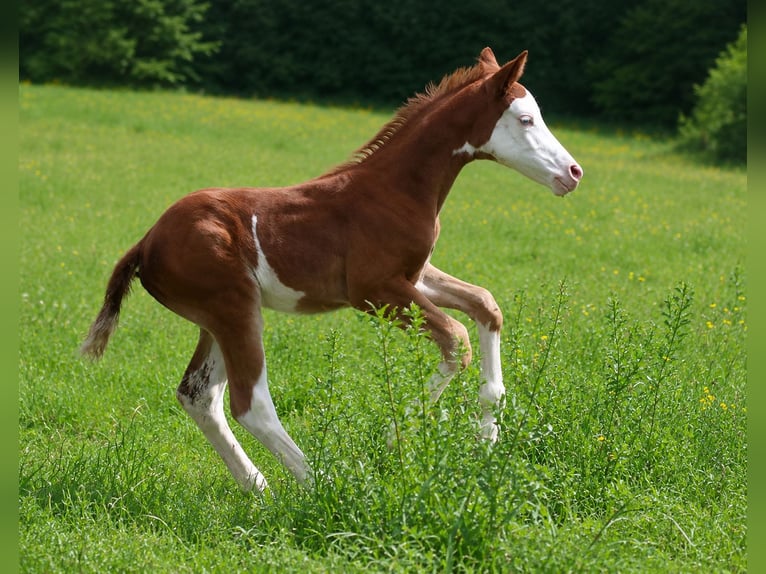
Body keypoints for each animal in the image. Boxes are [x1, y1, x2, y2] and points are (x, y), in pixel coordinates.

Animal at [81, 47, 583, 492]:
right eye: (526, 119)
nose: (574, 173)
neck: (395, 189)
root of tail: (147, 241)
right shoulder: (373, 291)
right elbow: (456, 339)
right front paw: (392, 442)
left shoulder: (415, 277)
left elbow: (485, 303)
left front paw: (488, 437)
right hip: (234, 308)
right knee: (250, 402)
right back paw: (329, 485)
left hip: (219, 318)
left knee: (198, 394)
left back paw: (259, 489)